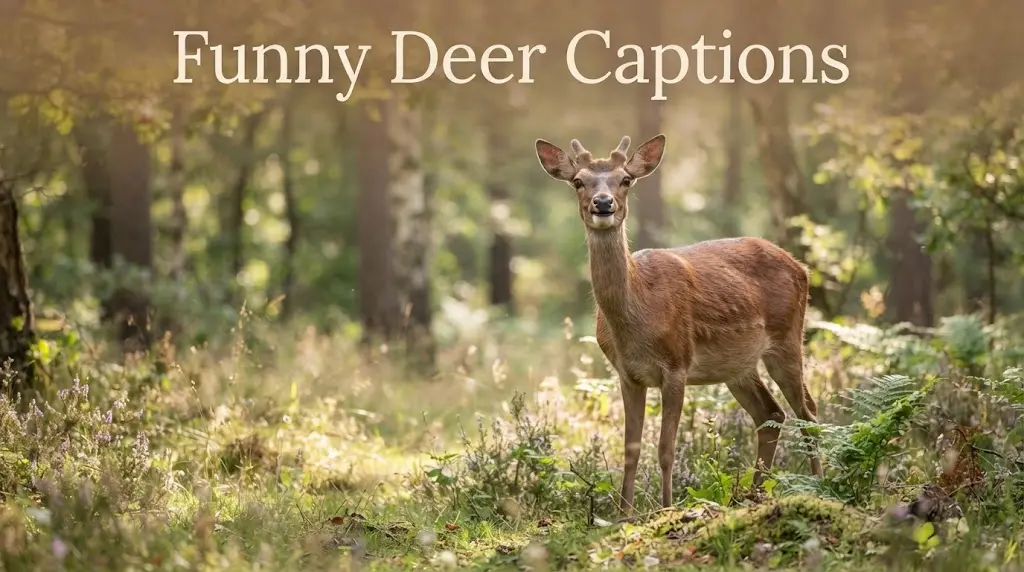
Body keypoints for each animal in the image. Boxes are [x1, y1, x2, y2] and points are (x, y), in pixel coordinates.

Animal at [534, 134, 824, 517]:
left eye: (626, 180)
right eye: (578, 181)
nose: (603, 203)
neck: (636, 317)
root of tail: (802, 267)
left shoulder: (677, 365)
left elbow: (665, 449)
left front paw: (666, 508)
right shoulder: (627, 374)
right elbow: (630, 449)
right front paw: (623, 515)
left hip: (788, 337)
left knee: (809, 412)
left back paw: (820, 486)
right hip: (739, 367)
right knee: (771, 414)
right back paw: (752, 495)